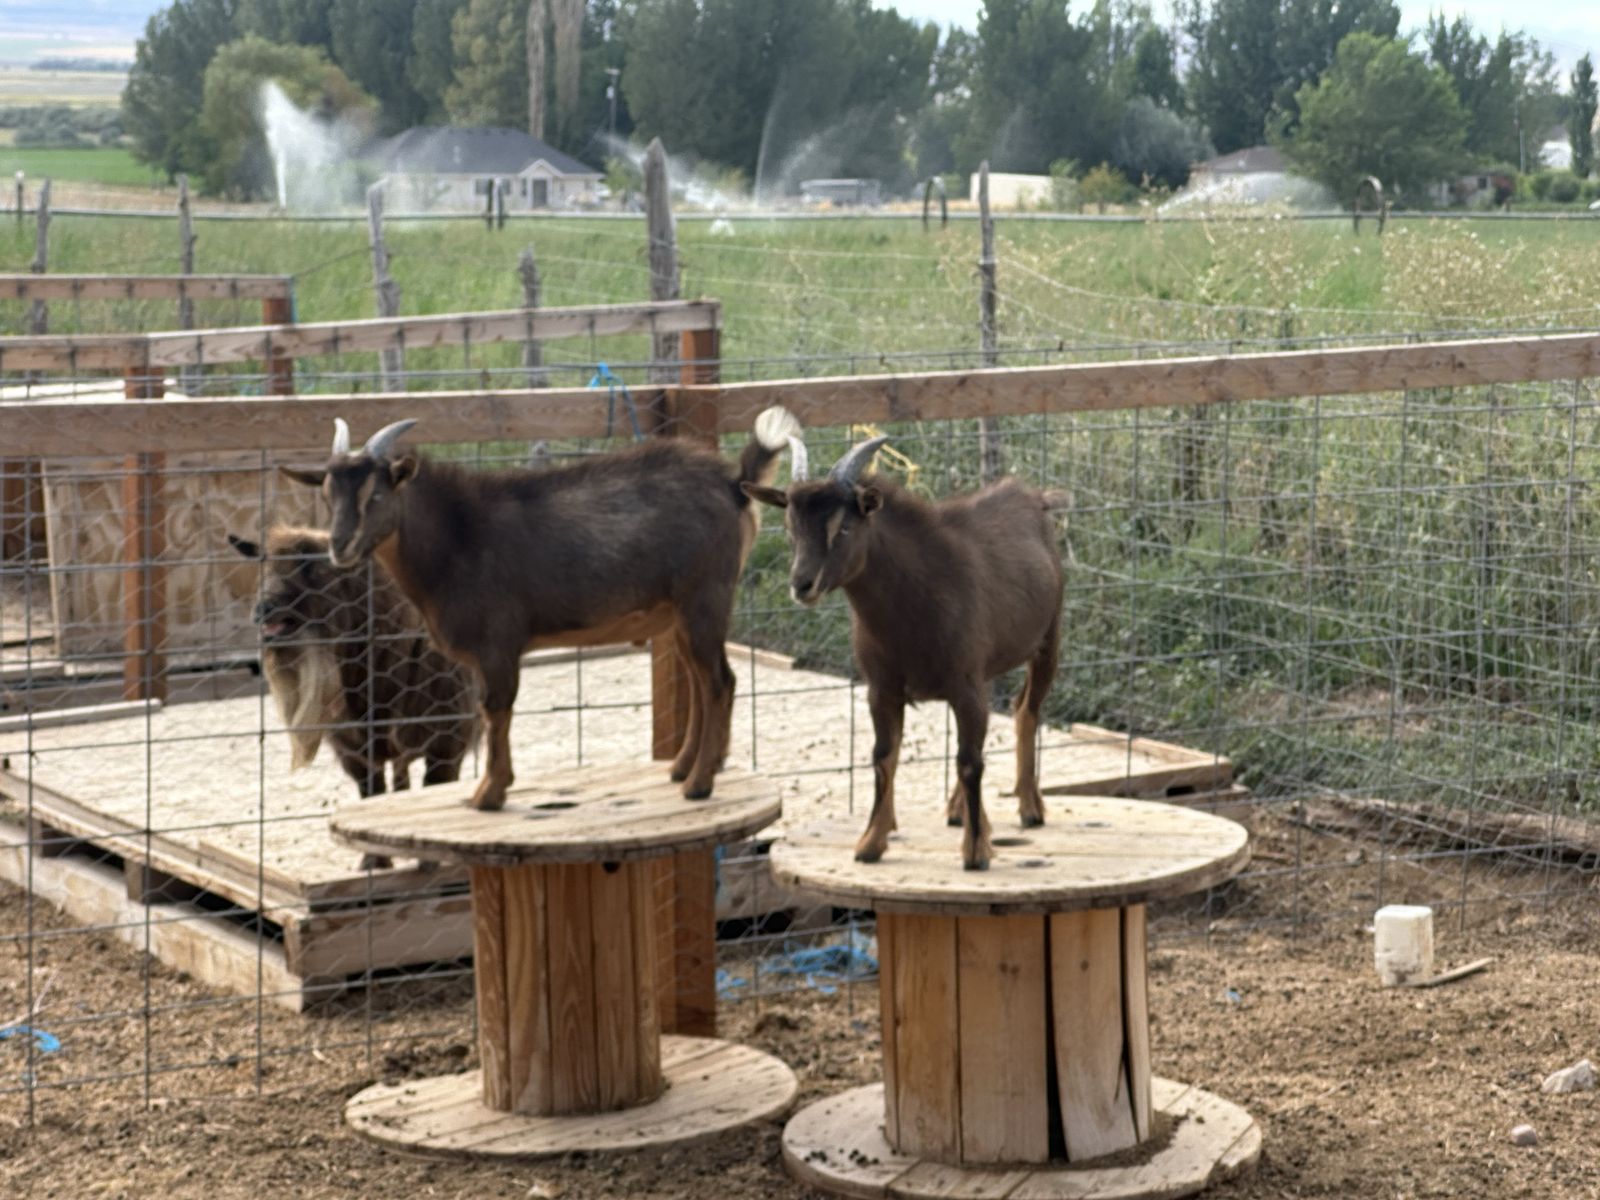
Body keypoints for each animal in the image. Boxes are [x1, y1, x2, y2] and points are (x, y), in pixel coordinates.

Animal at [228, 526, 480, 869]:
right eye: (263, 568)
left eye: (311, 567)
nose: (263, 611)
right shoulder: (354, 751)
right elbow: (372, 795)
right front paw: (373, 862)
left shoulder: (447, 742)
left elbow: (436, 794)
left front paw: (429, 864)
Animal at [281, 407, 801, 811]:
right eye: (327, 494)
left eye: (376, 494)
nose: (340, 547)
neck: (456, 538)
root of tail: (733, 483)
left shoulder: (498, 644)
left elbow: (497, 710)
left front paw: (488, 795)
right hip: (680, 614)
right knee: (699, 681)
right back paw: (682, 768)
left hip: (703, 599)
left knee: (719, 683)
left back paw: (698, 784)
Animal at [745, 437, 1065, 870]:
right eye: (790, 528)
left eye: (843, 526)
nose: (802, 584)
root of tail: (1034, 496)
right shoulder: (882, 688)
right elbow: (884, 756)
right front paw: (871, 842)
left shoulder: (965, 684)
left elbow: (970, 761)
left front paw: (976, 851)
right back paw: (961, 810)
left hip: (1049, 638)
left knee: (1026, 710)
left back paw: (1029, 808)